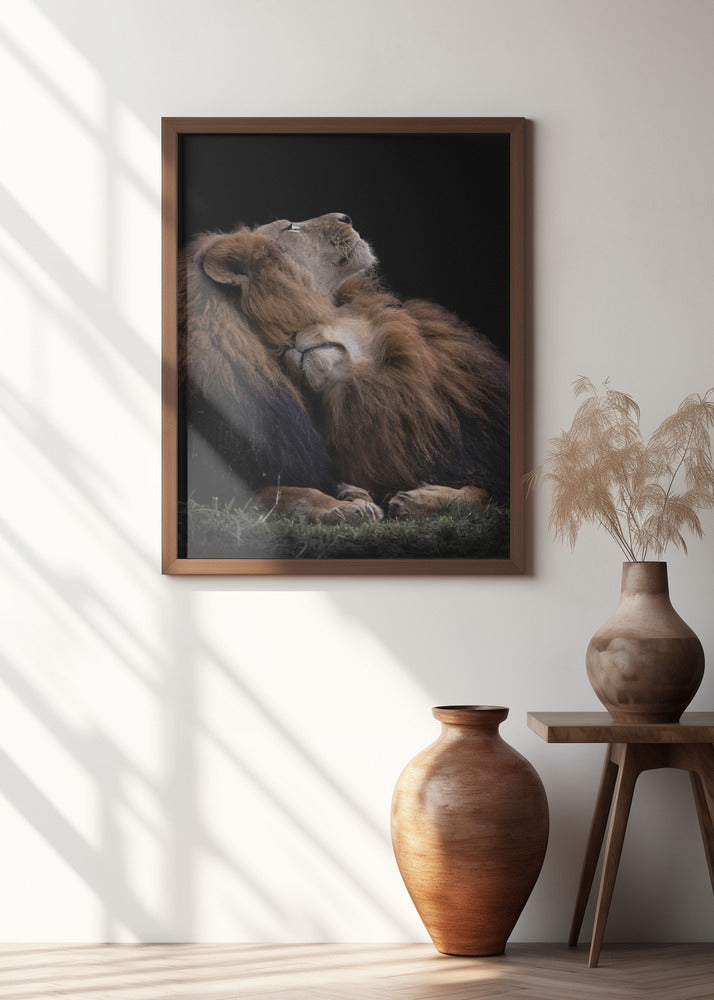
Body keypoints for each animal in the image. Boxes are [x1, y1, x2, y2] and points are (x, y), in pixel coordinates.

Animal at [197, 213, 510, 519]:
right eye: (289, 228)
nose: (346, 218)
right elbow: (283, 494)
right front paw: (344, 505)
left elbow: (482, 494)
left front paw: (420, 498)